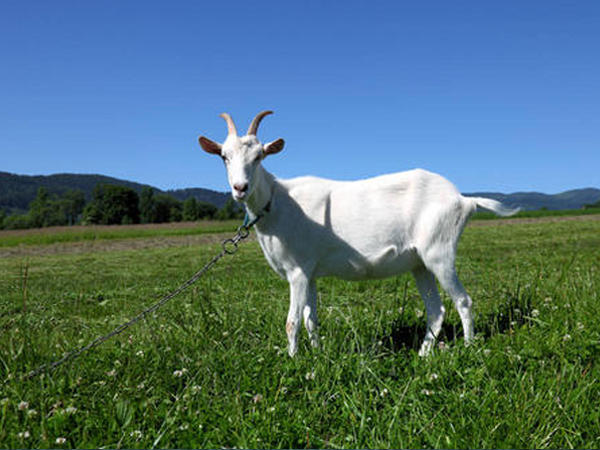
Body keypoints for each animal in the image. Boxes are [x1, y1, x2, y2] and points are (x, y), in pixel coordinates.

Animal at [199, 111, 519, 356]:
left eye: (260, 155)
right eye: (224, 157)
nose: (240, 188)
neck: (278, 202)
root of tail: (463, 199)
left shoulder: (297, 271)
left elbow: (292, 322)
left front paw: (292, 361)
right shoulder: (311, 273)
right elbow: (311, 319)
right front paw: (318, 356)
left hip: (440, 252)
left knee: (463, 301)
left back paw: (469, 348)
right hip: (420, 263)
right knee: (436, 310)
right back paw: (423, 353)